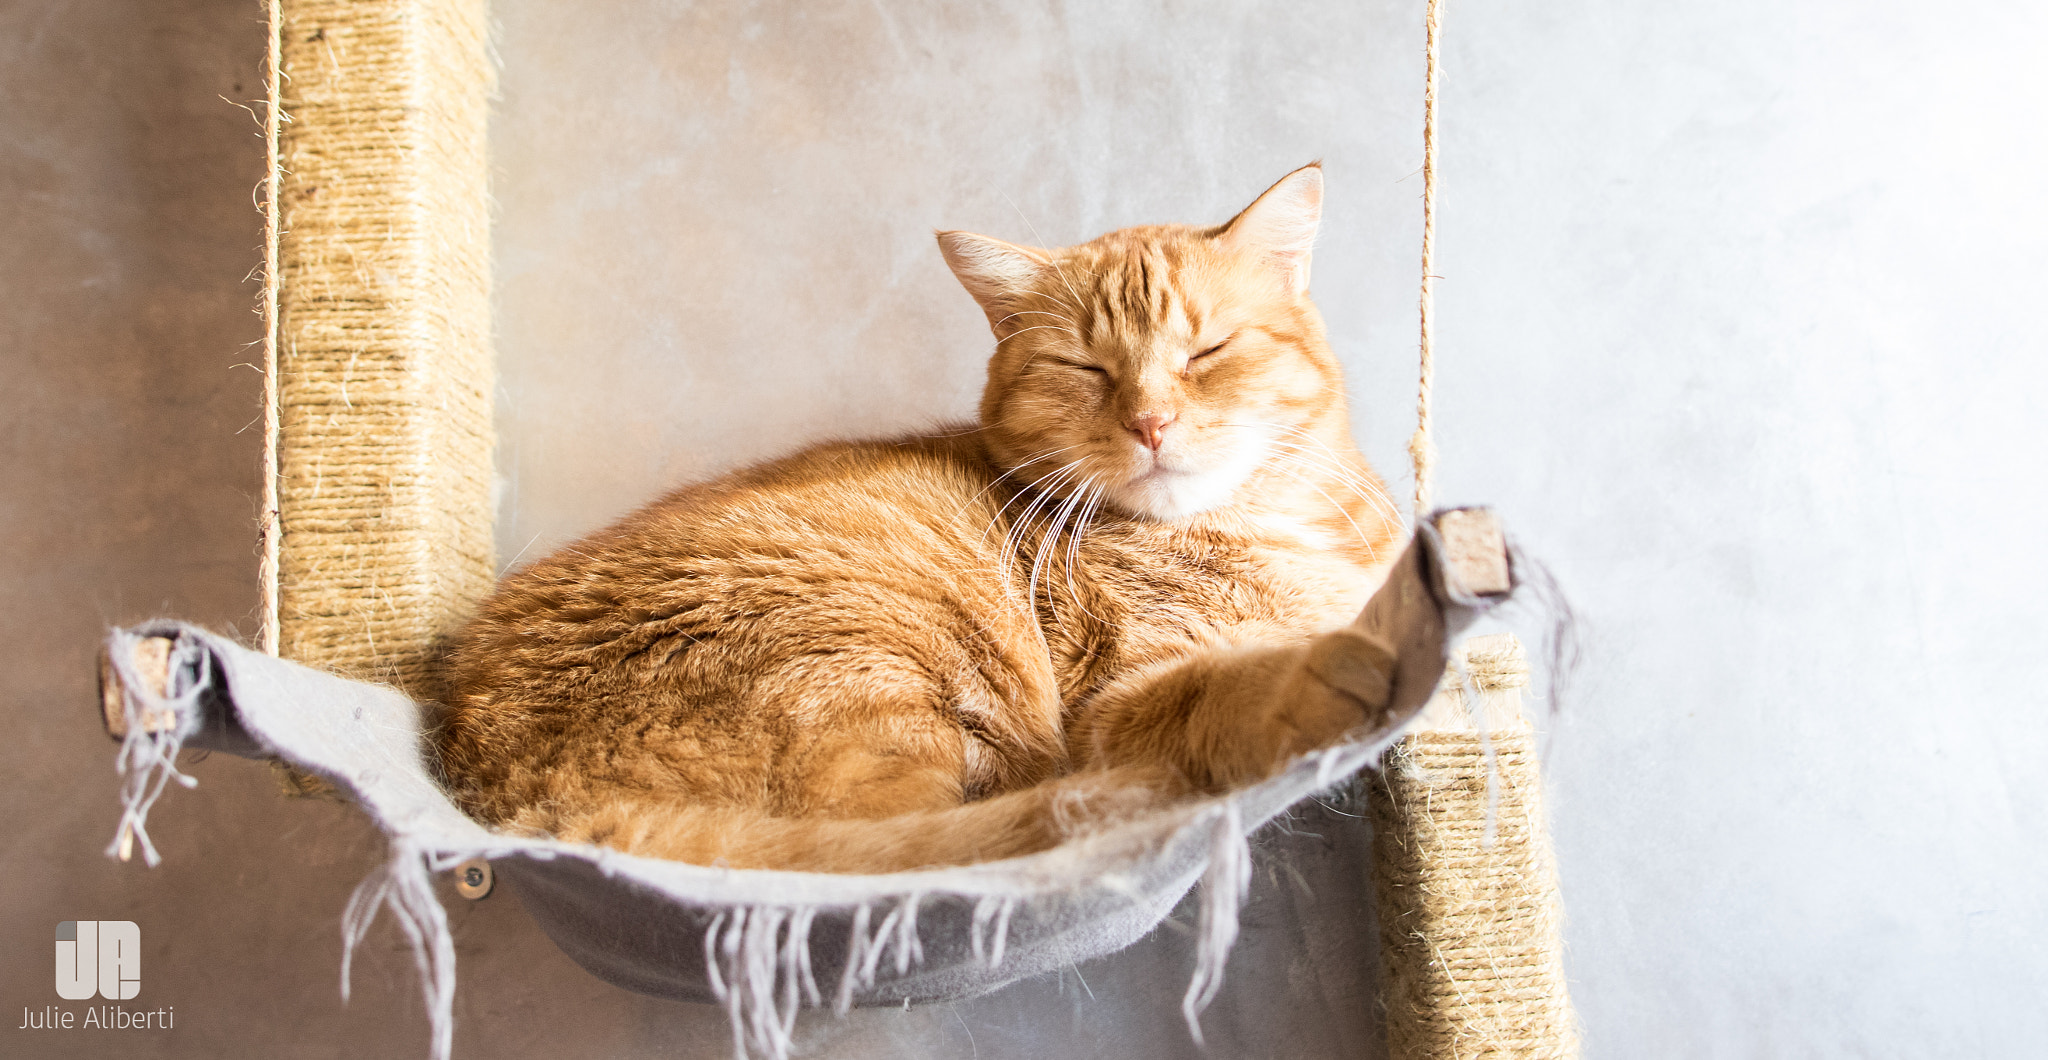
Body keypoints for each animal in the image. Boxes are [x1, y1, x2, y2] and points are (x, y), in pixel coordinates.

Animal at [436, 165, 1409, 875]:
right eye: (1083, 369)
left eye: (1208, 350)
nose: (1150, 422)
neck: (1276, 525)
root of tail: (503, 787)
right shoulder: (1118, 707)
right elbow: (1238, 683)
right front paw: (1337, 668)